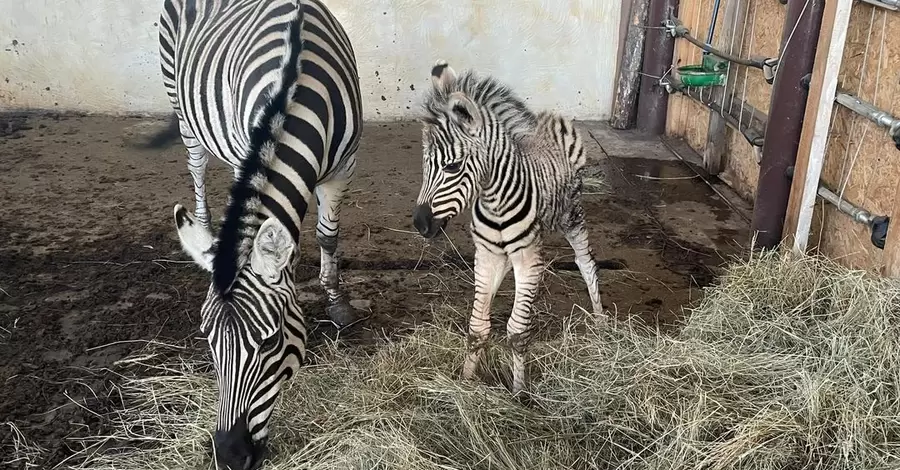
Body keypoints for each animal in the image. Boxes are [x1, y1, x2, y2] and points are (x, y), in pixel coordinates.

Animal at [156, 1, 362, 468]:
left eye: (270, 343)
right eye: (207, 340)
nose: (230, 456)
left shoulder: (343, 169)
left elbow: (327, 234)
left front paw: (335, 300)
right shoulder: (244, 152)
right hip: (182, 105)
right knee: (197, 166)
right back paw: (204, 225)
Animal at [414, 60, 604, 394]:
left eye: (452, 167)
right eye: (425, 166)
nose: (419, 224)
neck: (494, 200)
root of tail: (550, 119)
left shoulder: (528, 257)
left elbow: (517, 331)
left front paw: (519, 393)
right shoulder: (487, 255)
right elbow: (477, 327)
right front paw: (466, 381)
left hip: (572, 215)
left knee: (586, 263)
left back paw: (601, 321)